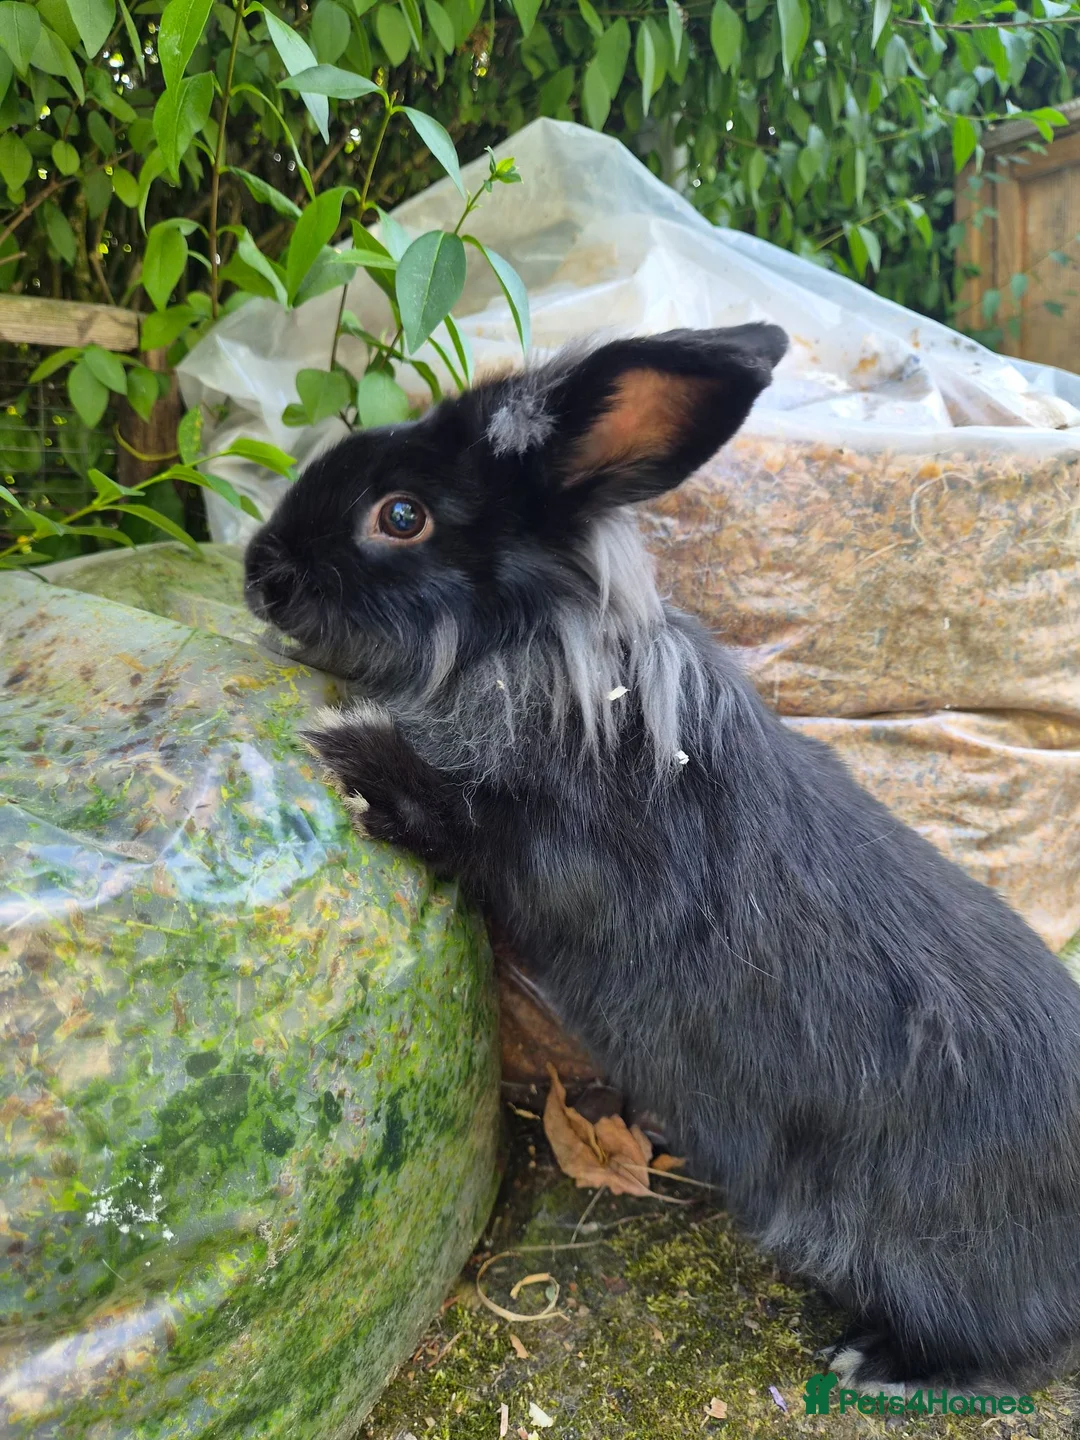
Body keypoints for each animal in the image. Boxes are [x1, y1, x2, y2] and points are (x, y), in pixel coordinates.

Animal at [245, 324, 1080, 1394]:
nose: (260, 571)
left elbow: (460, 819)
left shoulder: (551, 848)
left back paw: (877, 1361)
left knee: (1014, 1351)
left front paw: (349, 747)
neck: (533, 657)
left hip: (939, 1258)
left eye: (400, 516)